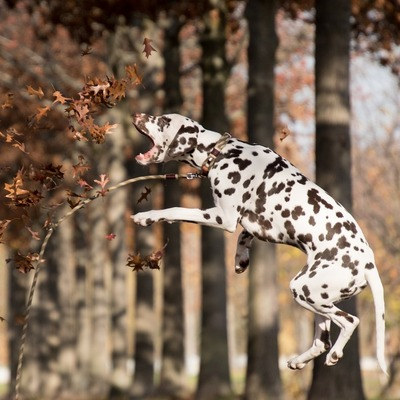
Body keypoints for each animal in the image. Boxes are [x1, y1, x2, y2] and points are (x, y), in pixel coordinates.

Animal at [132, 111, 388, 372]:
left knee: (349, 321)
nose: (138, 114)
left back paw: (335, 353)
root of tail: (369, 265)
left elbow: (176, 210)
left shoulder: (222, 217)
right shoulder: (256, 223)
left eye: (163, 120)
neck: (221, 151)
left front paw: (146, 217)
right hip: (316, 298)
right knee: (321, 341)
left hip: (304, 290)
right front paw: (241, 259)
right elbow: (245, 235)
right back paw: (298, 360)